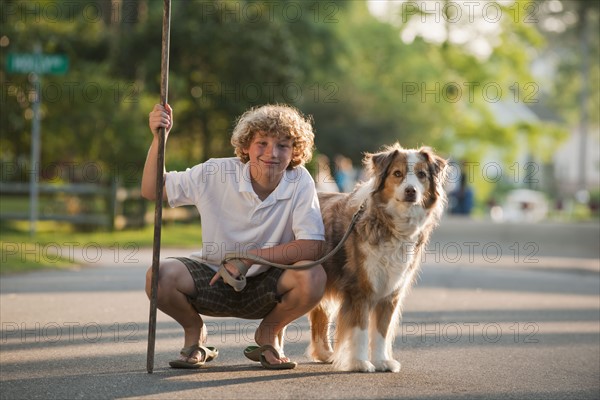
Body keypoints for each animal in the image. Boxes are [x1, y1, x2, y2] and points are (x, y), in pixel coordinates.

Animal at [310, 143, 446, 372]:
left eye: (422, 175)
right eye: (397, 174)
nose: (411, 191)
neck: (391, 224)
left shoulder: (391, 292)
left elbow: (382, 331)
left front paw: (382, 361)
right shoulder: (360, 290)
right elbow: (361, 330)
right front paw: (359, 362)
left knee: (319, 315)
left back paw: (324, 355)